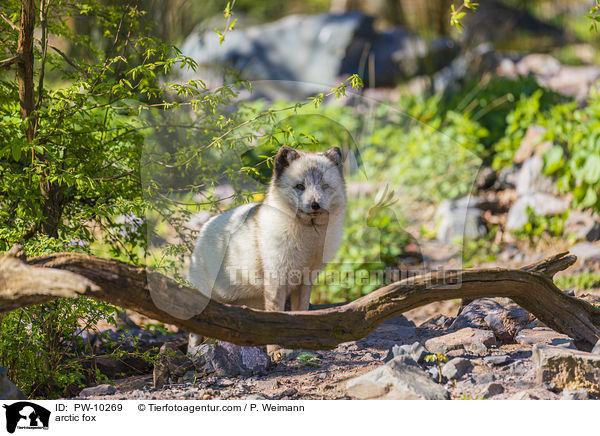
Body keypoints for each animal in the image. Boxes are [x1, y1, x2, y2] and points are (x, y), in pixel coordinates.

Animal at [188, 146, 346, 314]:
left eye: (324, 186)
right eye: (300, 186)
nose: (315, 205)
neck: (309, 238)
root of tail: (205, 226)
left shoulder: (305, 280)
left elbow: (301, 309)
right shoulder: (276, 278)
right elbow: (276, 310)